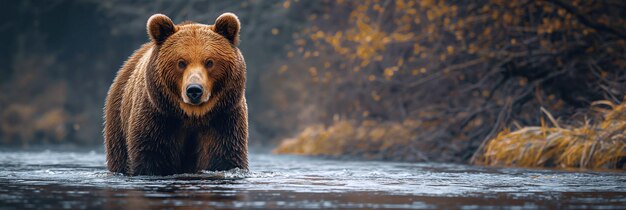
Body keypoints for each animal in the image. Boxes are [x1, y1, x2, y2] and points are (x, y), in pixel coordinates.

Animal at [103, 12, 247, 176]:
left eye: (209, 62)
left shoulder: (223, 120)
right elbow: (151, 156)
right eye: (181, 62)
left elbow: (223, 158)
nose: (194, 90)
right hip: (118, 127)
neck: (193, 115)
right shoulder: (157, 119)